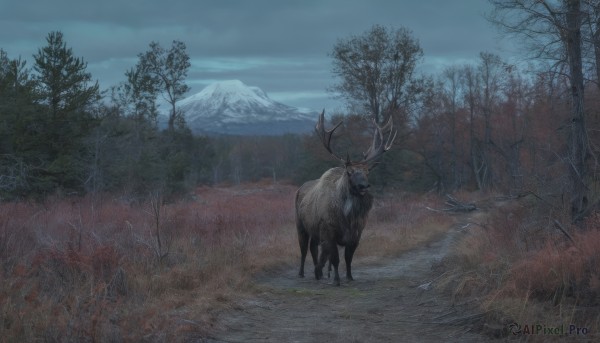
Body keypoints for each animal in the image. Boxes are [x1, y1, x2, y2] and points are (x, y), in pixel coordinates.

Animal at [294, 110, 396, 284]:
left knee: (314, 248)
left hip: (315, 230)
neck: (347, 217)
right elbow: (335, 259)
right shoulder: (329, 231)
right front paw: (336, 280)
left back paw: (318, 273)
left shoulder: (357, 233)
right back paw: (301, 273)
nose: (364, 186)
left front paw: (349, 276)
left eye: (367, 172)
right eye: (349, 172)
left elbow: (348, 258)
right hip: (300, 225)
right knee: (304, 249)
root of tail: (300, 188)